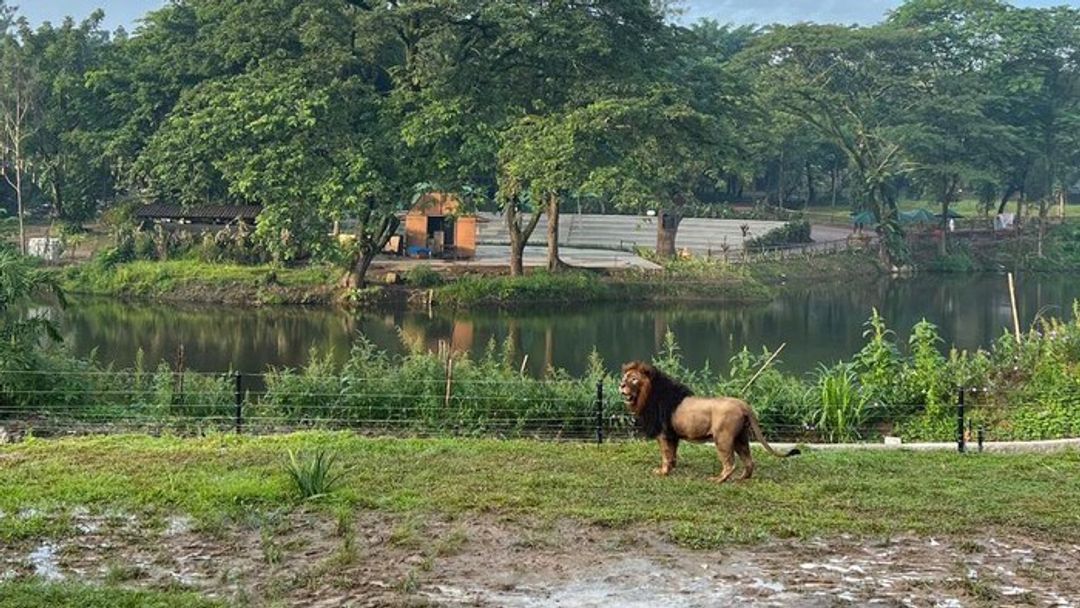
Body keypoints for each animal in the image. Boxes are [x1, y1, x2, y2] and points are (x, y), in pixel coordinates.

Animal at [622, 360, 799, 485]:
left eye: (634, 379)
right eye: (624, 378)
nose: (621, 385)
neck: (647, 396)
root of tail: (743, 404)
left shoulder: (664, 434)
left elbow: (666, 455)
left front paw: (662, 472)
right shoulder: (673, 435)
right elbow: (672, 455)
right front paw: (671, 469)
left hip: (723, 438)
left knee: (730, 463)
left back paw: (718, 480)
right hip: (741, 438)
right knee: (749, 462)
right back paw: (741, 478)